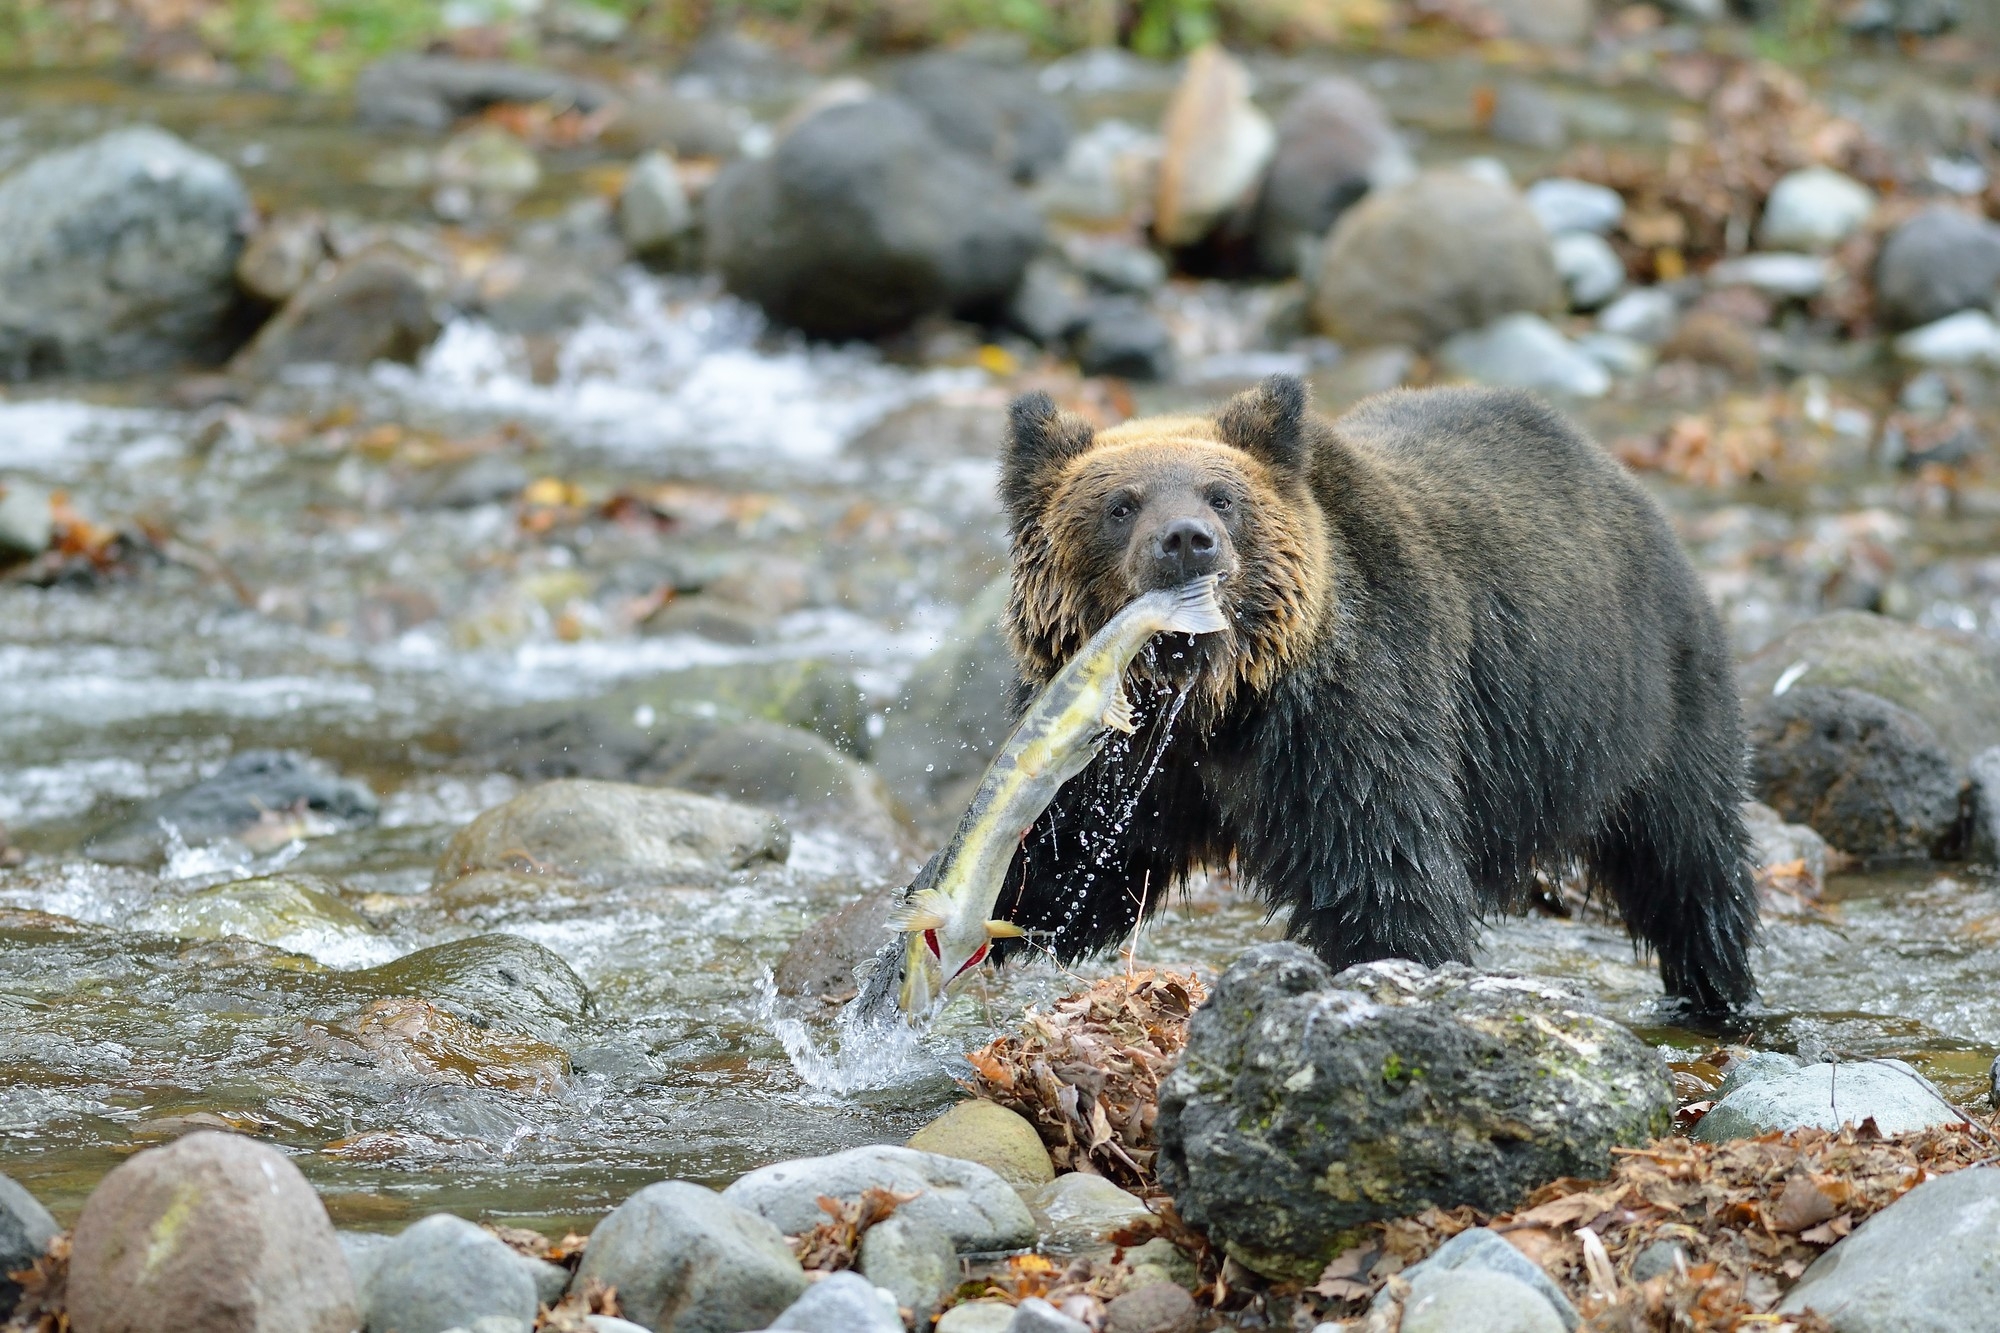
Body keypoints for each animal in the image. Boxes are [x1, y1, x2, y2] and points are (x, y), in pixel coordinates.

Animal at [992, 370, 1760, 1008]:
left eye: (1224, 497)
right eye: (1121, 505)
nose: (1186, 539)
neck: (1220, 701)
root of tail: (1627, 484)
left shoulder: (1351, 712)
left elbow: (1384, 872)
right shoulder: (1117, 751)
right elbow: (1064, 863)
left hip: (1646, 698)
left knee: (1688, 859)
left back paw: (1718, 987)